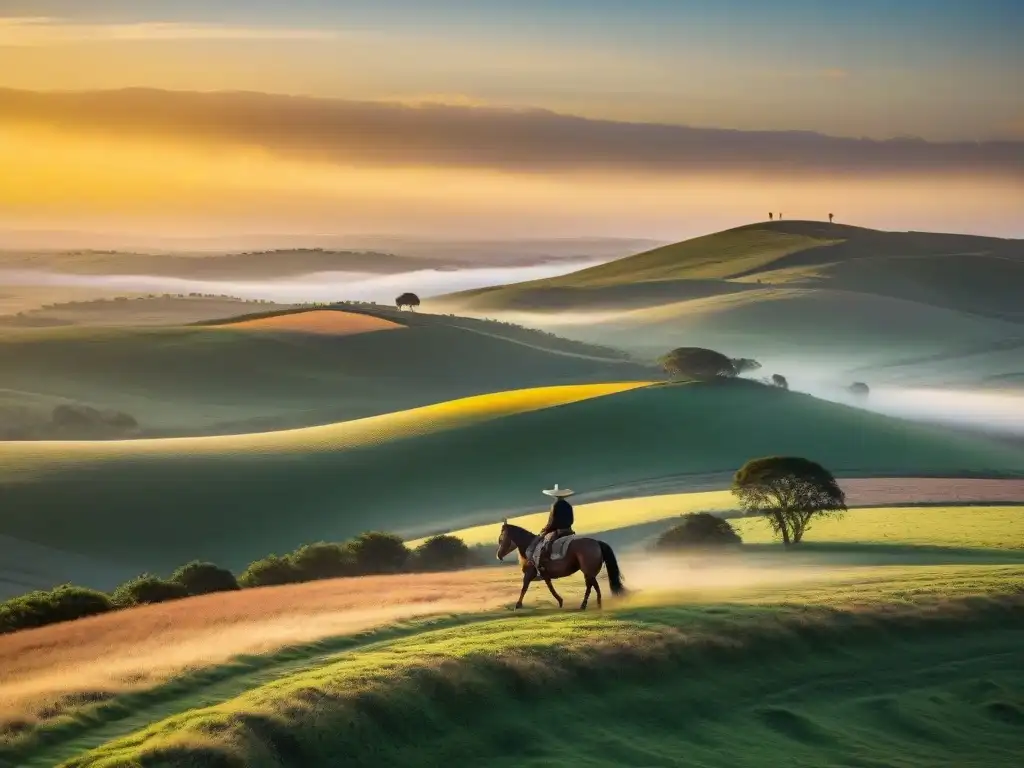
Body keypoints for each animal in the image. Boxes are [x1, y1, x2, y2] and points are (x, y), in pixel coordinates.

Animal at [493, 524, 622, 614]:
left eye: (501, 539)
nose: (498, 555)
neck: (529, 546)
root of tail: (596, 543)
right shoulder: (544, 575)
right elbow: (550, 587)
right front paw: (560, 601)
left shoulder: (529, 574)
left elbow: (524, 588)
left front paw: (518, 605)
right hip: (589, 573)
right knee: (593, 586)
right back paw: (595, 605)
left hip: (588, 573)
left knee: (591, 586)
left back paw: (587, 605)